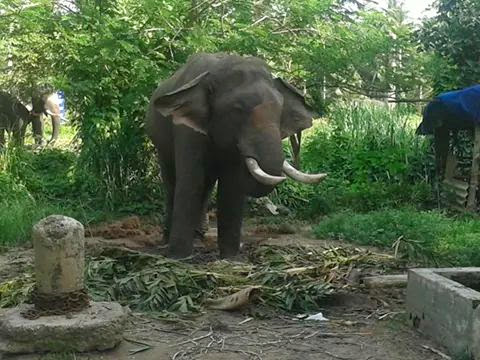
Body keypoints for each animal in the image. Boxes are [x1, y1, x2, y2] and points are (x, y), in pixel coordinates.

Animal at [145, 52, 326, 258]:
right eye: (237, 109)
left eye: (280, 112)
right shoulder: (186, 129)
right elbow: (192, 180)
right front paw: (179, 257)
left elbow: (231, 184)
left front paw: (230, 257)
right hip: (160, 142)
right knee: (172, 182)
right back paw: (167, 241)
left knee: (207, 185)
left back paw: (199, 236)